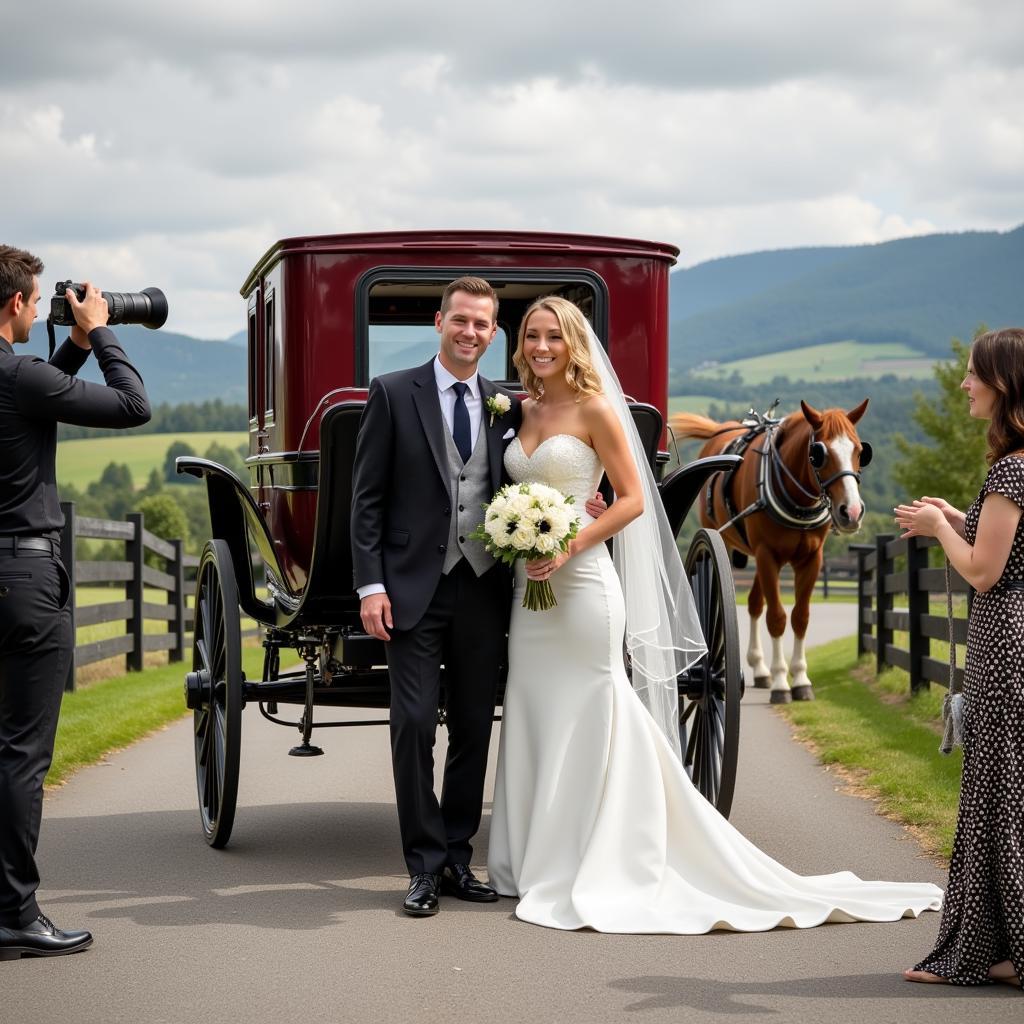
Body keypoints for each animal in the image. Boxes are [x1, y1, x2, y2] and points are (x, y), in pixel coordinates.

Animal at [671, 399, 872, 704]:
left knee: (755, 603)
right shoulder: (767, 555)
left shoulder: (811, 559)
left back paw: (759, 668)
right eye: (818, 454)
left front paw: (800, 679)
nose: (851, 511)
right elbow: (776, 618)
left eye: (860, 451)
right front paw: (780, 683)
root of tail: (721, 430)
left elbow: (800, 617)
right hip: (726, 540)